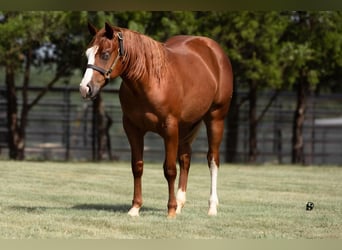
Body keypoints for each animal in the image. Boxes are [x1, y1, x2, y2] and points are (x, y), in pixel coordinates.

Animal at [79, 23, 234, 219]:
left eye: (105, 54)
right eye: (87, 53)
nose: (85, 88)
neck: (150, 80)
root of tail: (214, 51)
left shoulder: (170, 128)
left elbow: (170, 169)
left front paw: (171, 210)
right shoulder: (133, 128)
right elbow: (137, 167)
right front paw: (135, 208)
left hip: (215, 118)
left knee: (212, 160)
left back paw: (211, 207)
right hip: (186, 127)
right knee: (185, 159)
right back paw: (181, 203)